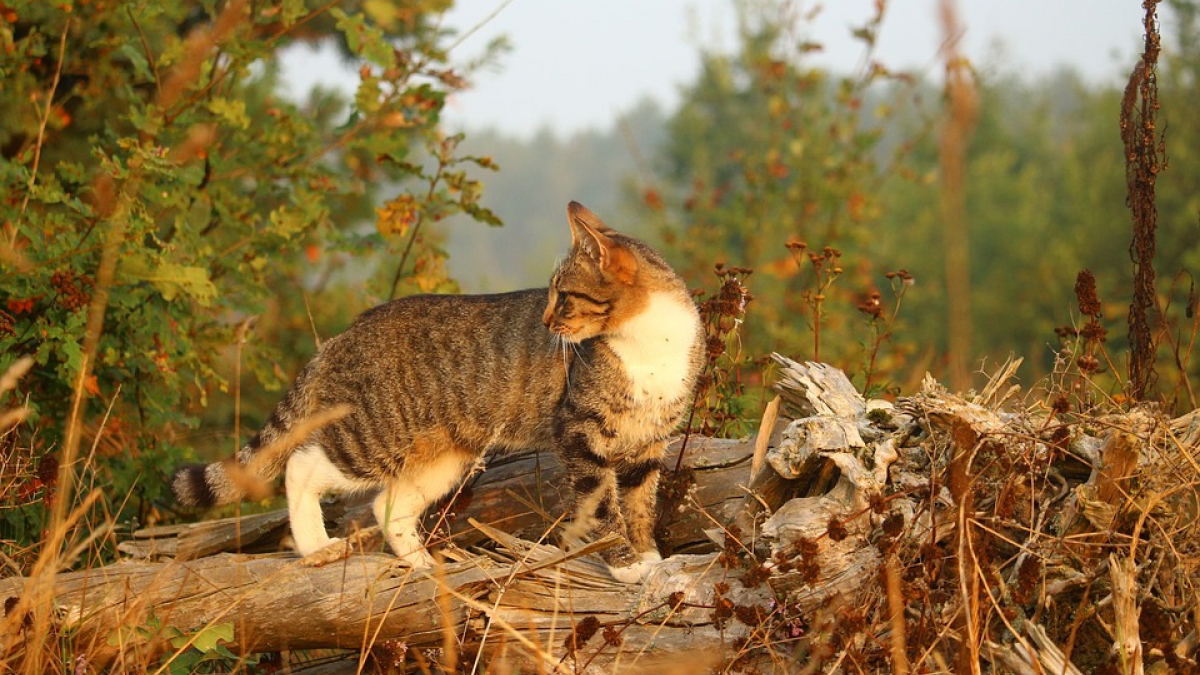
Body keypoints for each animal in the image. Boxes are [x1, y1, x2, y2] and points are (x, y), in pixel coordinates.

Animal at [175, 199, 700, 578]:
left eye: (564, 297)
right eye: (549, 296)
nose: (546, 322)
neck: (651, 342)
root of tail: (343, 335)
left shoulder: (648, 444)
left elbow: (639, 505)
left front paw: (650, 560)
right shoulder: (577, 434)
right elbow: (602, 507)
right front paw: (628, 568)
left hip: (444, 456)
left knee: (387, 505)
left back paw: (421, 564)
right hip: (373, 436)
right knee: (300, 466)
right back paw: (317, 546)